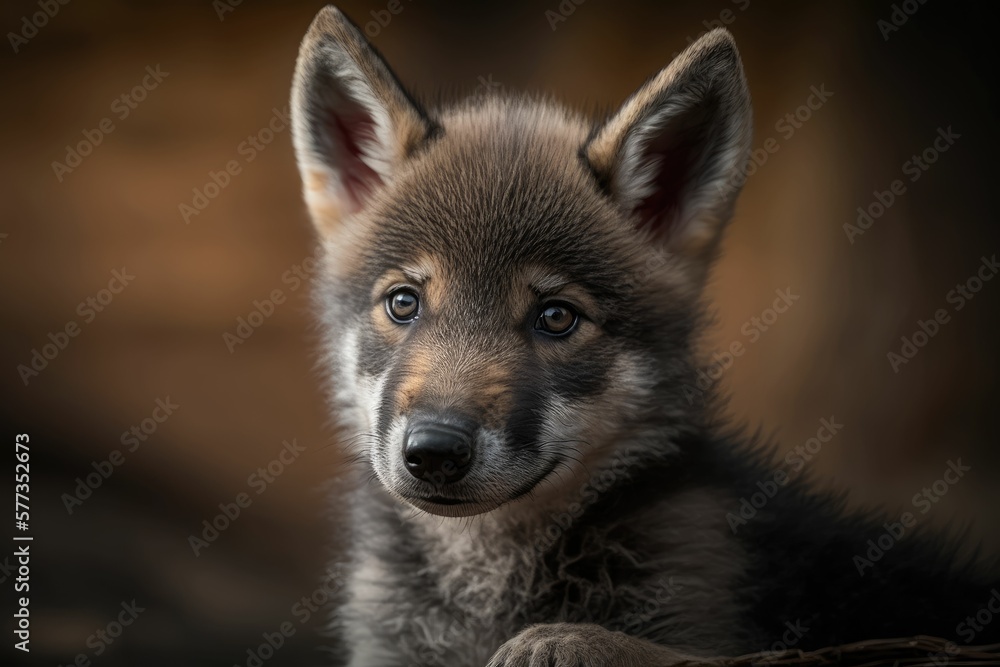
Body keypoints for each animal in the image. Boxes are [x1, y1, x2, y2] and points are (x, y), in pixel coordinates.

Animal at [289, 6, 999, 666]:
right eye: (403, 303)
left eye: (556, 317)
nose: (434, 451)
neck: (490, 588)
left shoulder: (698, 626)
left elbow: (628, 646)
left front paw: (562, 640)